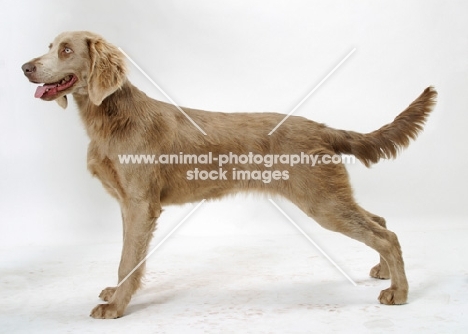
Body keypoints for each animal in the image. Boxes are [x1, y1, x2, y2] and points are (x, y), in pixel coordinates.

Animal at [20, 30, 436, 318]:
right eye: (49, 45)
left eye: (66, 50)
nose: (26, 67)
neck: (112, 117)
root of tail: (322, 127)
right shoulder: (127, 204)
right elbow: (126, 258)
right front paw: (115, 293)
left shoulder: (140, 204)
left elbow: (128, 259)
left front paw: (116, 308)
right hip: (328, 196)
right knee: (380, 221)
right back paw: (383, 273)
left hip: (321, 201)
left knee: (386, 234)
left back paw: (399, 293)